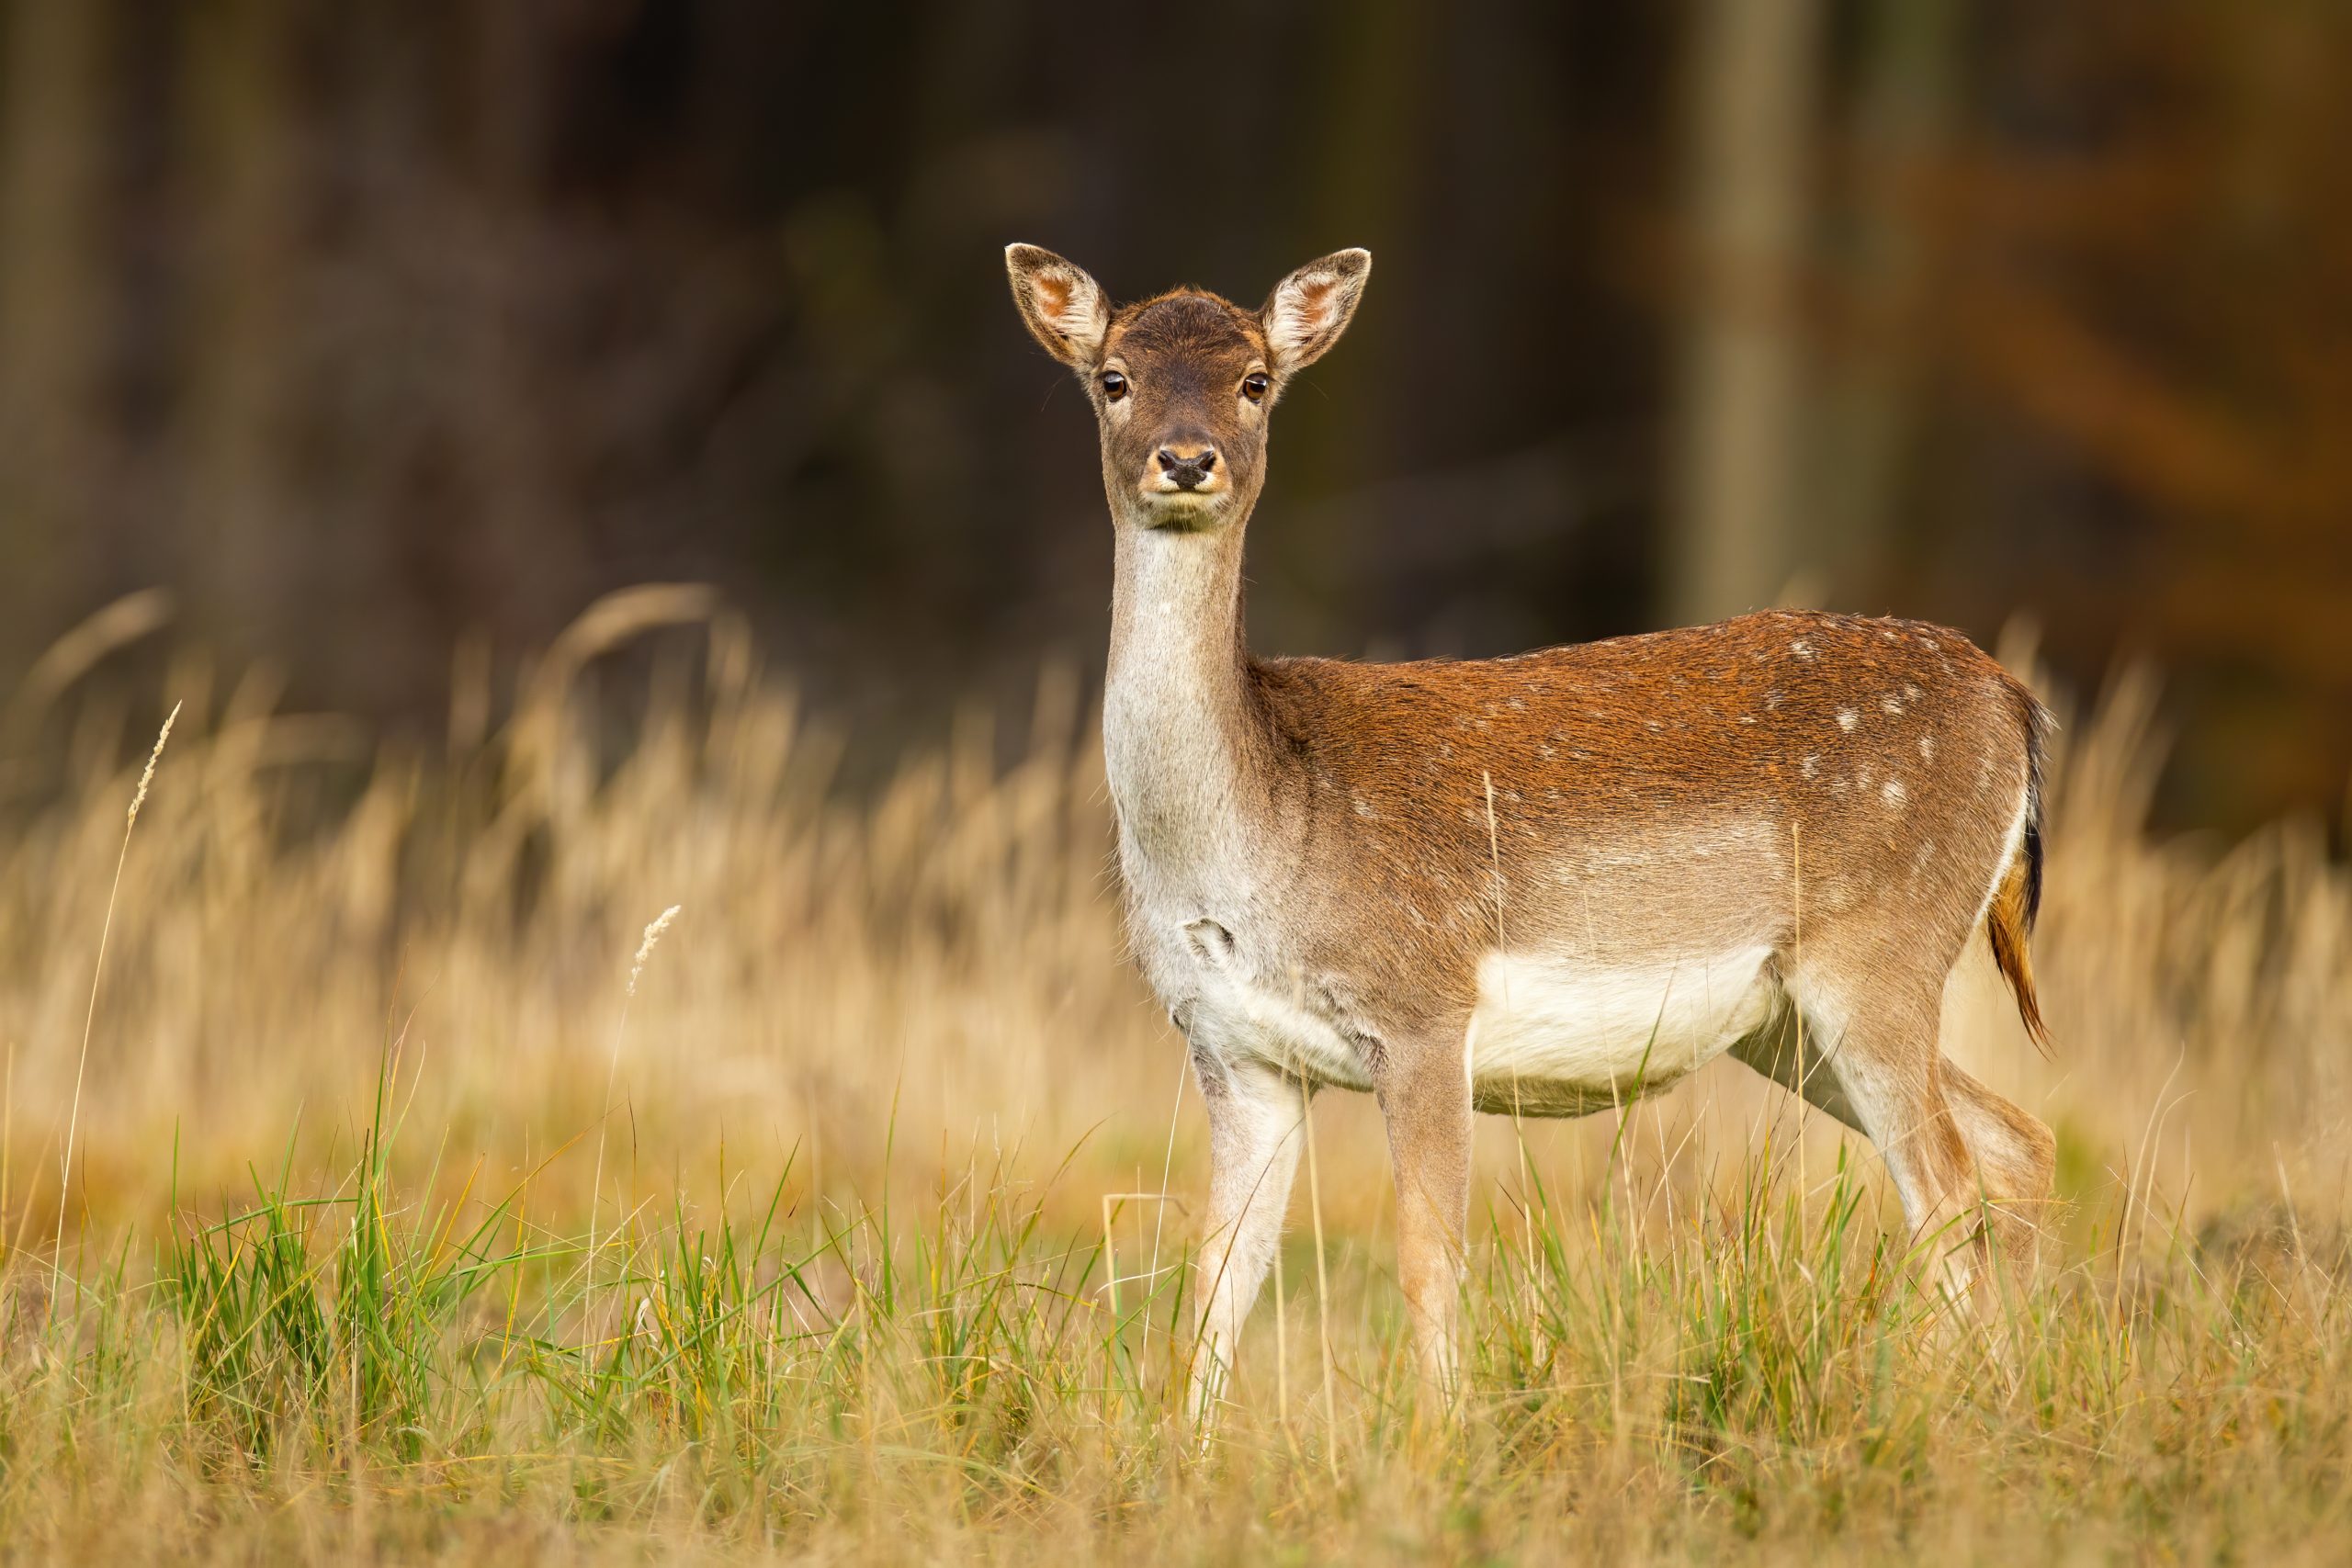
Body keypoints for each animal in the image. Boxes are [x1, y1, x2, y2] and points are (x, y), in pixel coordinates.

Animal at [1003, 243, 2057, 1418]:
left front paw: (1434, 1441)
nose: (1187, 461)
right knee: (2014, 1143)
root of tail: (2015, 705)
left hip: (1880, 946)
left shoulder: (1421, 1005)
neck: (1254, 840)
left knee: (1946, 1187)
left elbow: (1427, 1262)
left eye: (1255, 381)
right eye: (1114, 378)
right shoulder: (1230, 1047)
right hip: (1787, 1019)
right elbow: (1214, 1287)